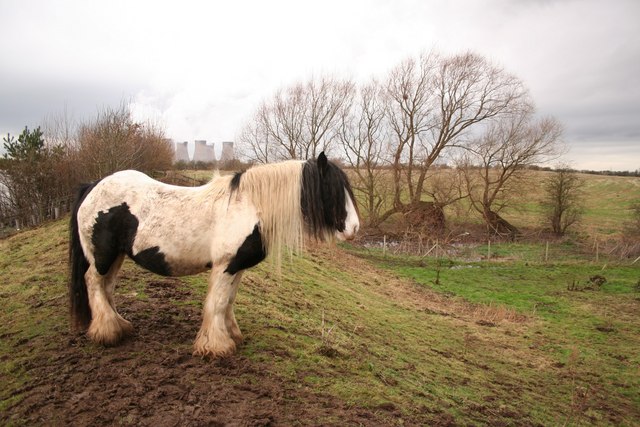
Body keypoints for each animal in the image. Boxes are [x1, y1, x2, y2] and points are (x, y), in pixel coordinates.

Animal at [71, 152, 360, 360]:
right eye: (332, 190)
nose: (355, 229)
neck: (248, 207)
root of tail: (93, 186)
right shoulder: (224, 267)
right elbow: (218, 303)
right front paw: (217, 347)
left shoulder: (236, 268)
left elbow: (228, 301)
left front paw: (232, 335)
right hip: (102, 257)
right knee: (94, 283)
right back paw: (107, 333)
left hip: (115, 257)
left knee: (107, 288)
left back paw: (118, 326)